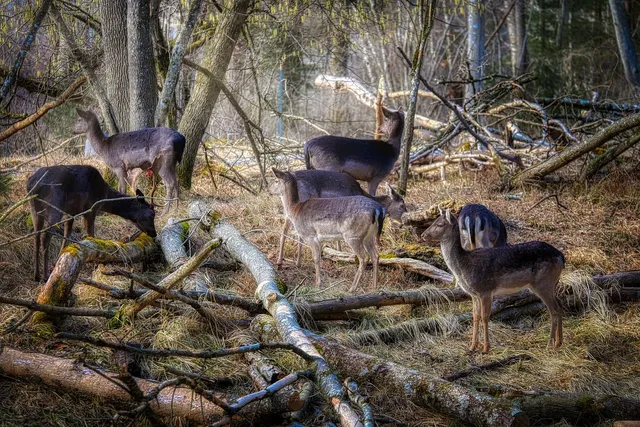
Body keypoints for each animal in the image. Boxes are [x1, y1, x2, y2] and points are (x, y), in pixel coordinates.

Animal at [27, 165, 157, 282]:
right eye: (152, 214)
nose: (154, 233)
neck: (104, 196)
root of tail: (32, 185)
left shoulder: (71, 212)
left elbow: (67, 233)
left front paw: (59, 260)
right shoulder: (90, 209)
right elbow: (91, 236)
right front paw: (95, 265)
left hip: (34, 210)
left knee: (36, 235)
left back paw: (36, 275)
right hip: (54, 206)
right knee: (45, 237)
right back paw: (45, 276)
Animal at [271, 169, 406, 267]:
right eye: (402, 205)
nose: (402, 224)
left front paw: (338, 251)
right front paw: (342, 252)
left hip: (288, 209)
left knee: (284, 229)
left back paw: (281, 260)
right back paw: (296, 262)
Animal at [421, 209, 564, 353]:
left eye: (439, 224)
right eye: (434, 221)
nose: (423, 235)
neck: (463, 266)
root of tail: (561, 257)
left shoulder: (486, 290)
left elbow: (485, 317)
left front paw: (485, 348)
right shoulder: (474, 294)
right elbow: (475, 316)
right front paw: (472, 347)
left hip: (543, 283)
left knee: (553, 310)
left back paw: (550, 344)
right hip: (552, 284)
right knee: (559, 306)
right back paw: (559, 342)